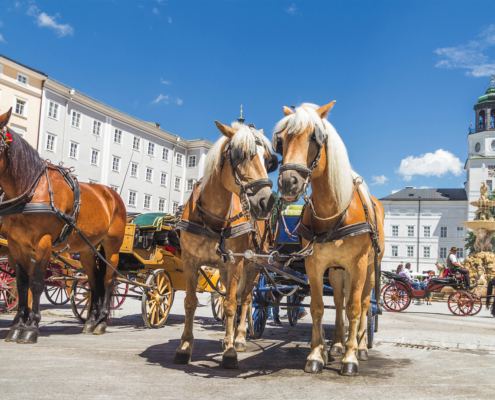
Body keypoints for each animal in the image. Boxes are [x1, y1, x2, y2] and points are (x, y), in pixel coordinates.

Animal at [0, 109, 127, 344]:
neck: (31, 190)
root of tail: (111, 194)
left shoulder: (43, 244)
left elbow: (36, 284)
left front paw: (31, 327)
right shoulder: (16, 245)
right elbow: (21, 284)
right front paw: (18, 326)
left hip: (112, 247)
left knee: (108, 280)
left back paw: (101, 322)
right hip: (87, 249)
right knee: (93, 282)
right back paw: (90, 321)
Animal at [173, 121, 276, 368]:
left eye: (268, 159)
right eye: (240, 154)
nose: (267, 201)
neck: (214, 220)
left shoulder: (236, 263)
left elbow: (230, 304)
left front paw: (229, 352)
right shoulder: (190, 262)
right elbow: (190, 302)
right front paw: (184, 347)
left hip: (254, 265)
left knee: (245, 299)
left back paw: (237, 339)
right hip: (222, 268)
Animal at [274, 102, 386, 376]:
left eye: (315, 138)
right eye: (281, 140)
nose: (288, 182)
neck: (333, 209)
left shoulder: (358, 264)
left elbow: (355, 308)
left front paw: (351, 358)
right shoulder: (315, 264)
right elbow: (318, 307)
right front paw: (317, 354)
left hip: (369, 269)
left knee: (364, 304)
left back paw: (360, 347)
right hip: (336, 270)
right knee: (338, 300)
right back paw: (336, 344)